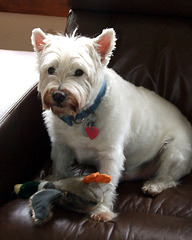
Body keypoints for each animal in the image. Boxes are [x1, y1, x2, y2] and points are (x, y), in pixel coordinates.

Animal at [31, 27, 192, 221]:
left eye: (79, 72)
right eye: (51, 69)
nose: (58, 95)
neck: (80, 116)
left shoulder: (111, 155)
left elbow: (106, 184)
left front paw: (102, 210)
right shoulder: (60, 146)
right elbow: (59, 168)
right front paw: (50, 187)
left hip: (174, 151)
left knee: (169, 177)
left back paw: (153, 185)